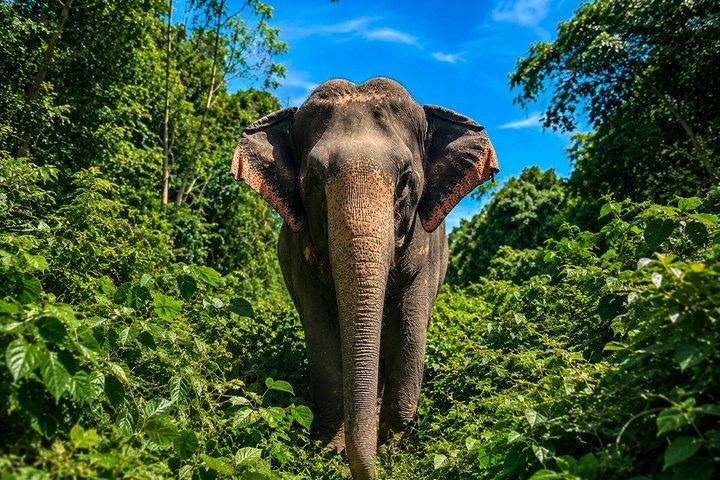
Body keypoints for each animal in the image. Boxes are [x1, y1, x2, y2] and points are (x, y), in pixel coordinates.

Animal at [230, 77, 498, 479]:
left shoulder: (424, 249)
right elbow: (321, 332)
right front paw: (328, 451)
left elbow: (410, 327)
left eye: (405, 180)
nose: (368, 470)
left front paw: (393, 452)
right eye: (313, 179)